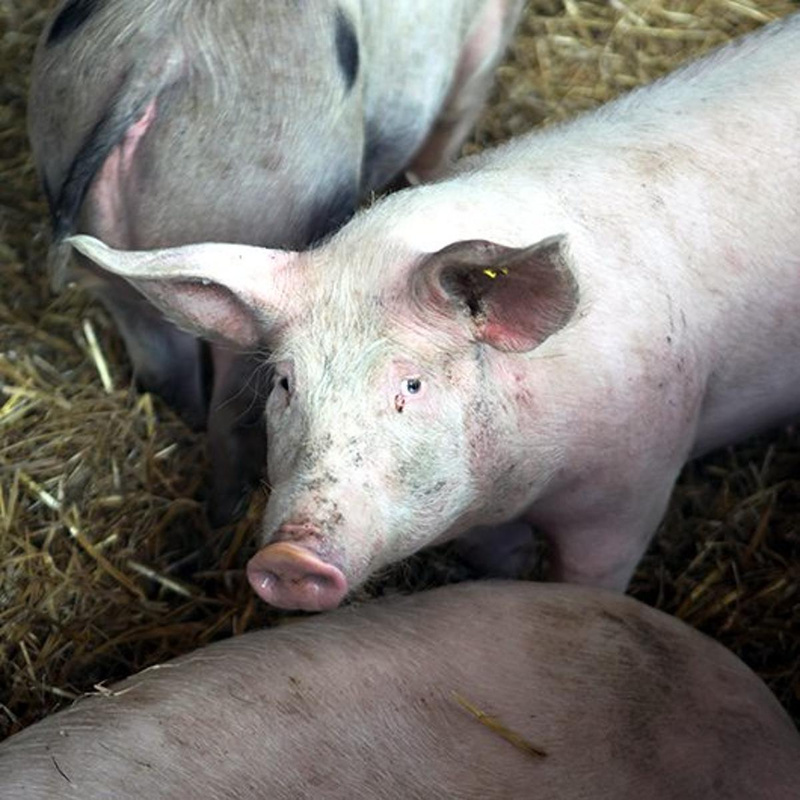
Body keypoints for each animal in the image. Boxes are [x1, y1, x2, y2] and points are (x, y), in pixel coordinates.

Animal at [29, 0, 524, 523]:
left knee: (163, 370)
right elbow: (452, 122)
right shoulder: (486, 35)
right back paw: (227, 516)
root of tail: (157, 56)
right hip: (261, 217)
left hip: (104, 244)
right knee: (230, 415)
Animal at [69, 13, 800, 611]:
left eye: (412, 385)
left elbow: (589, 581)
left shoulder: (636, 484)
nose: (291, 556)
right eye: (285, 383)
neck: (522, 479)